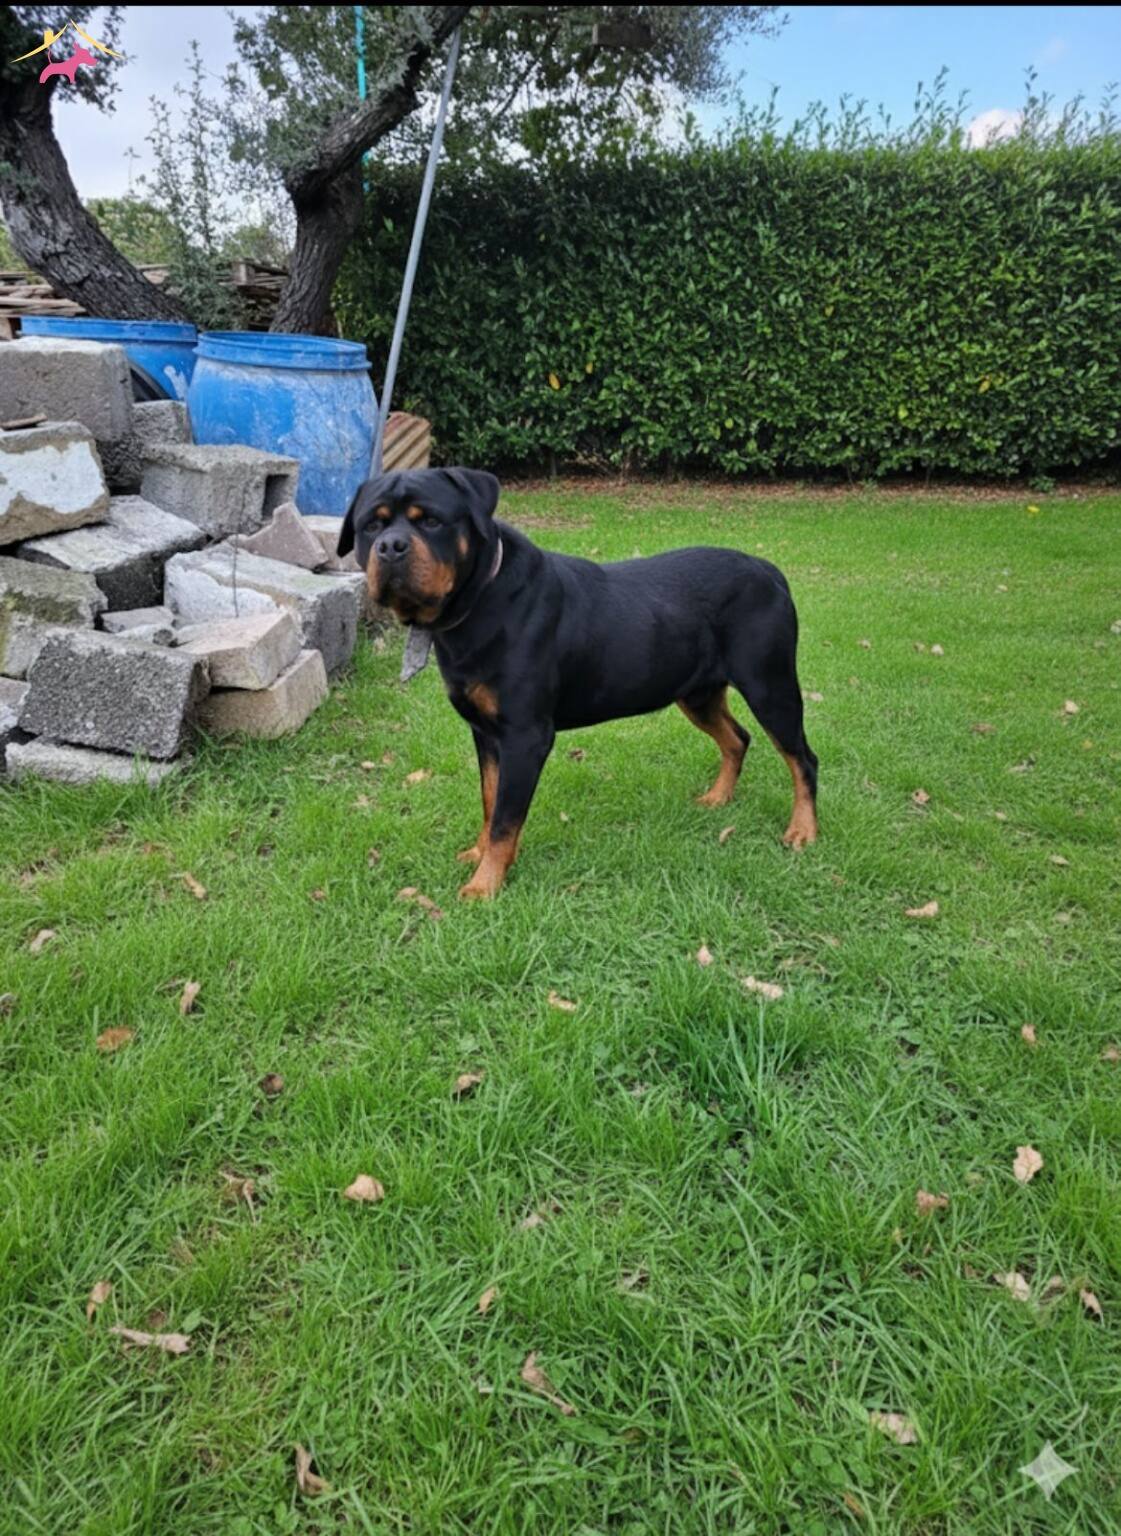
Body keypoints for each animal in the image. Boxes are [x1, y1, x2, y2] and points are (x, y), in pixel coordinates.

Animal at [338, 468, 818, 900]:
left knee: (802, 758)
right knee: (737, 738)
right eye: (371, 525)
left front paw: (484, 885)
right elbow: (490, 800)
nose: (390, 546)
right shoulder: (485, 732)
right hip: (697, 693)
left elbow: (506, 817)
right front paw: (479, 855)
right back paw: (718, 798)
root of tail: (770, 571)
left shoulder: (526, 735)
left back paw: (802, 830)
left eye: (432, 521)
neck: (479, 603)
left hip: (769, 685)